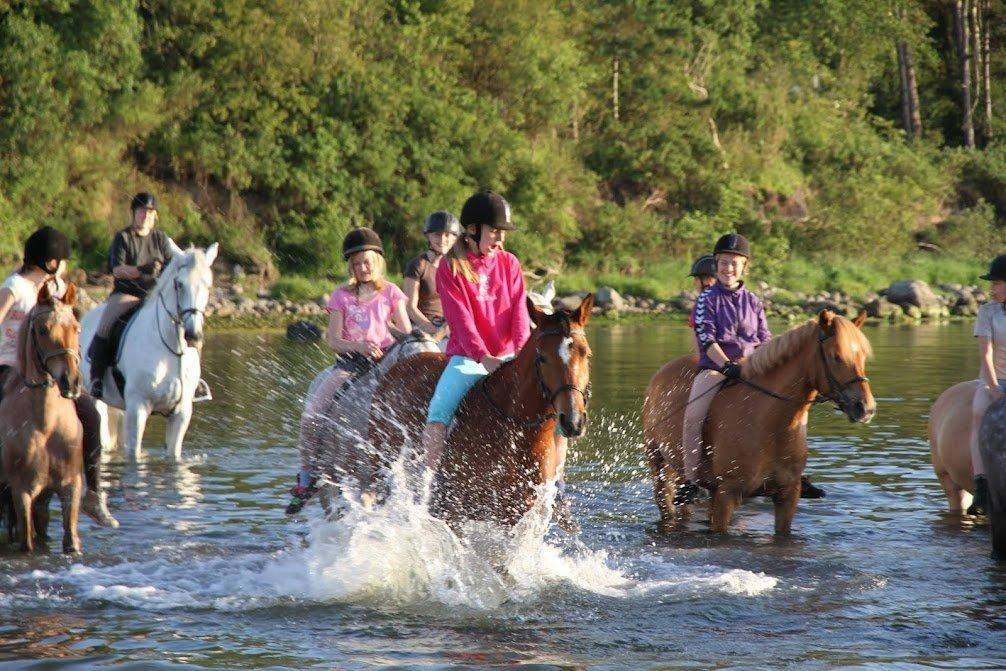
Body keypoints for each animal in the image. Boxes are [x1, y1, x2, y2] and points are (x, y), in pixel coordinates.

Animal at [0, 281, 85, 551]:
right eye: (43, 330)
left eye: (76, 327)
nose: (71, 382)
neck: (45, 424)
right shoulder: (22, 491)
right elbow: (27, 543)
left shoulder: (70, 486)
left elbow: (71, 540)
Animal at [80, 244, 218, 458]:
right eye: (179, 284)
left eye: (208, 286)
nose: (193, 336)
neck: (172, 350)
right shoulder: (138, 408)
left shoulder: (181, 413)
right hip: (98, 401)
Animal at [643, 309, 873, 535]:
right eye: (836, 356)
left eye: (862, 356)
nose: (866, 408)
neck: (771, 427)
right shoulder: (727, 493)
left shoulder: (787, 495)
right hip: (658, 463)